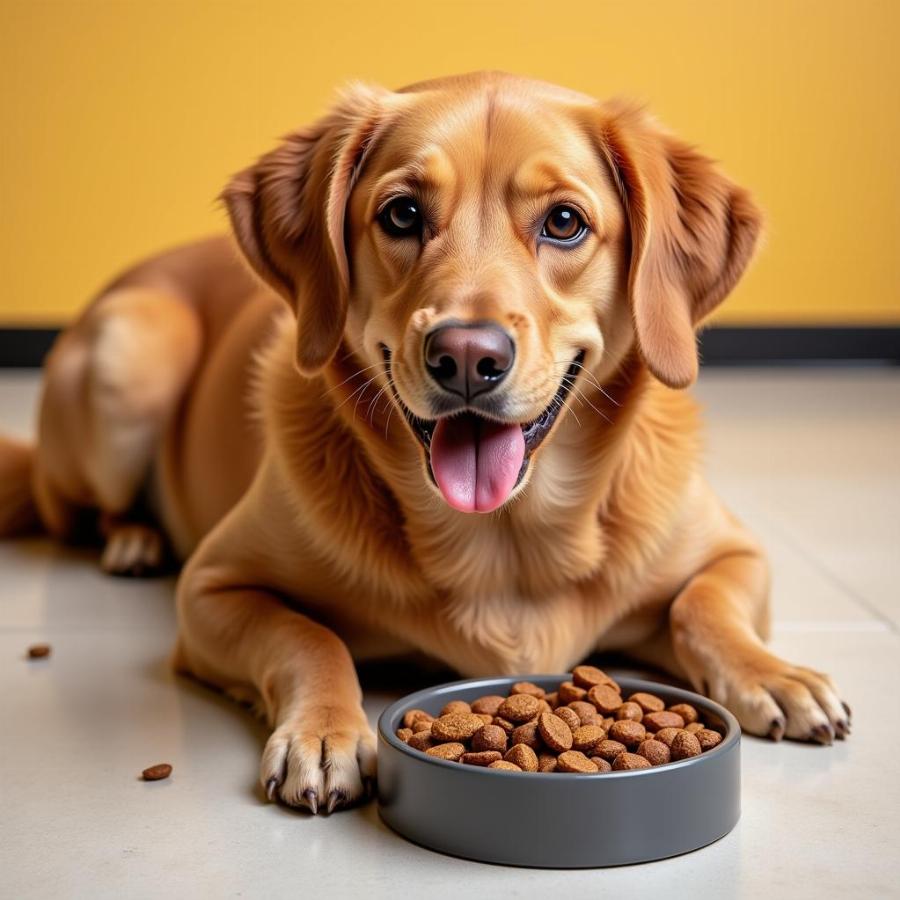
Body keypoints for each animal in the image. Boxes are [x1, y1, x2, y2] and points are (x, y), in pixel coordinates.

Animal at [0, 74, 848, 812]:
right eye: (402, 214)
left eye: (564, 222)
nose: (467, 356)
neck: (506, 541)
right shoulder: (213, 589)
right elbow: (309, 637)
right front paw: (324, 734)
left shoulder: (736, 553)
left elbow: (703, 607)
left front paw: (774, 674)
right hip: (132, 351)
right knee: (83, 510)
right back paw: (134, 539)